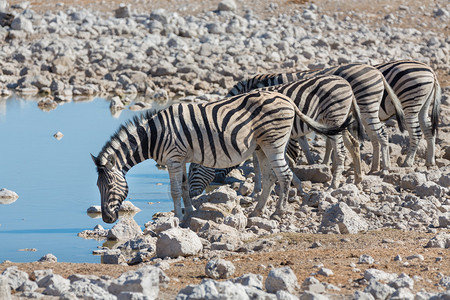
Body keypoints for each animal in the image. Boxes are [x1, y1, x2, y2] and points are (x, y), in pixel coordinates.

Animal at [90, 90, 344, 221]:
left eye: (109, 187)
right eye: (97, 187)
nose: (107, 219)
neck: (154, 135)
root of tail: (287, 99)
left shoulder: (173, 158)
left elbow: (174, 191)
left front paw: (178, 218)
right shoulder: (181, 159)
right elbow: (184, 188)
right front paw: (190, 214)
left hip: (274, 143)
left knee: (284, 176)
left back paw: (278, 212)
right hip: (262, 146)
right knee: (271, 177)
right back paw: (257, 211)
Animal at [189, 74, 362, 199]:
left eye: (194, 169)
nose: (191, 195)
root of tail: (346, 84)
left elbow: (258, 165)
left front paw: (257, 191)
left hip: (334, 118)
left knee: (340, 152)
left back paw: (333, 185)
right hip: (339, 123)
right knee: (353, 144)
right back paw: (358, 179)